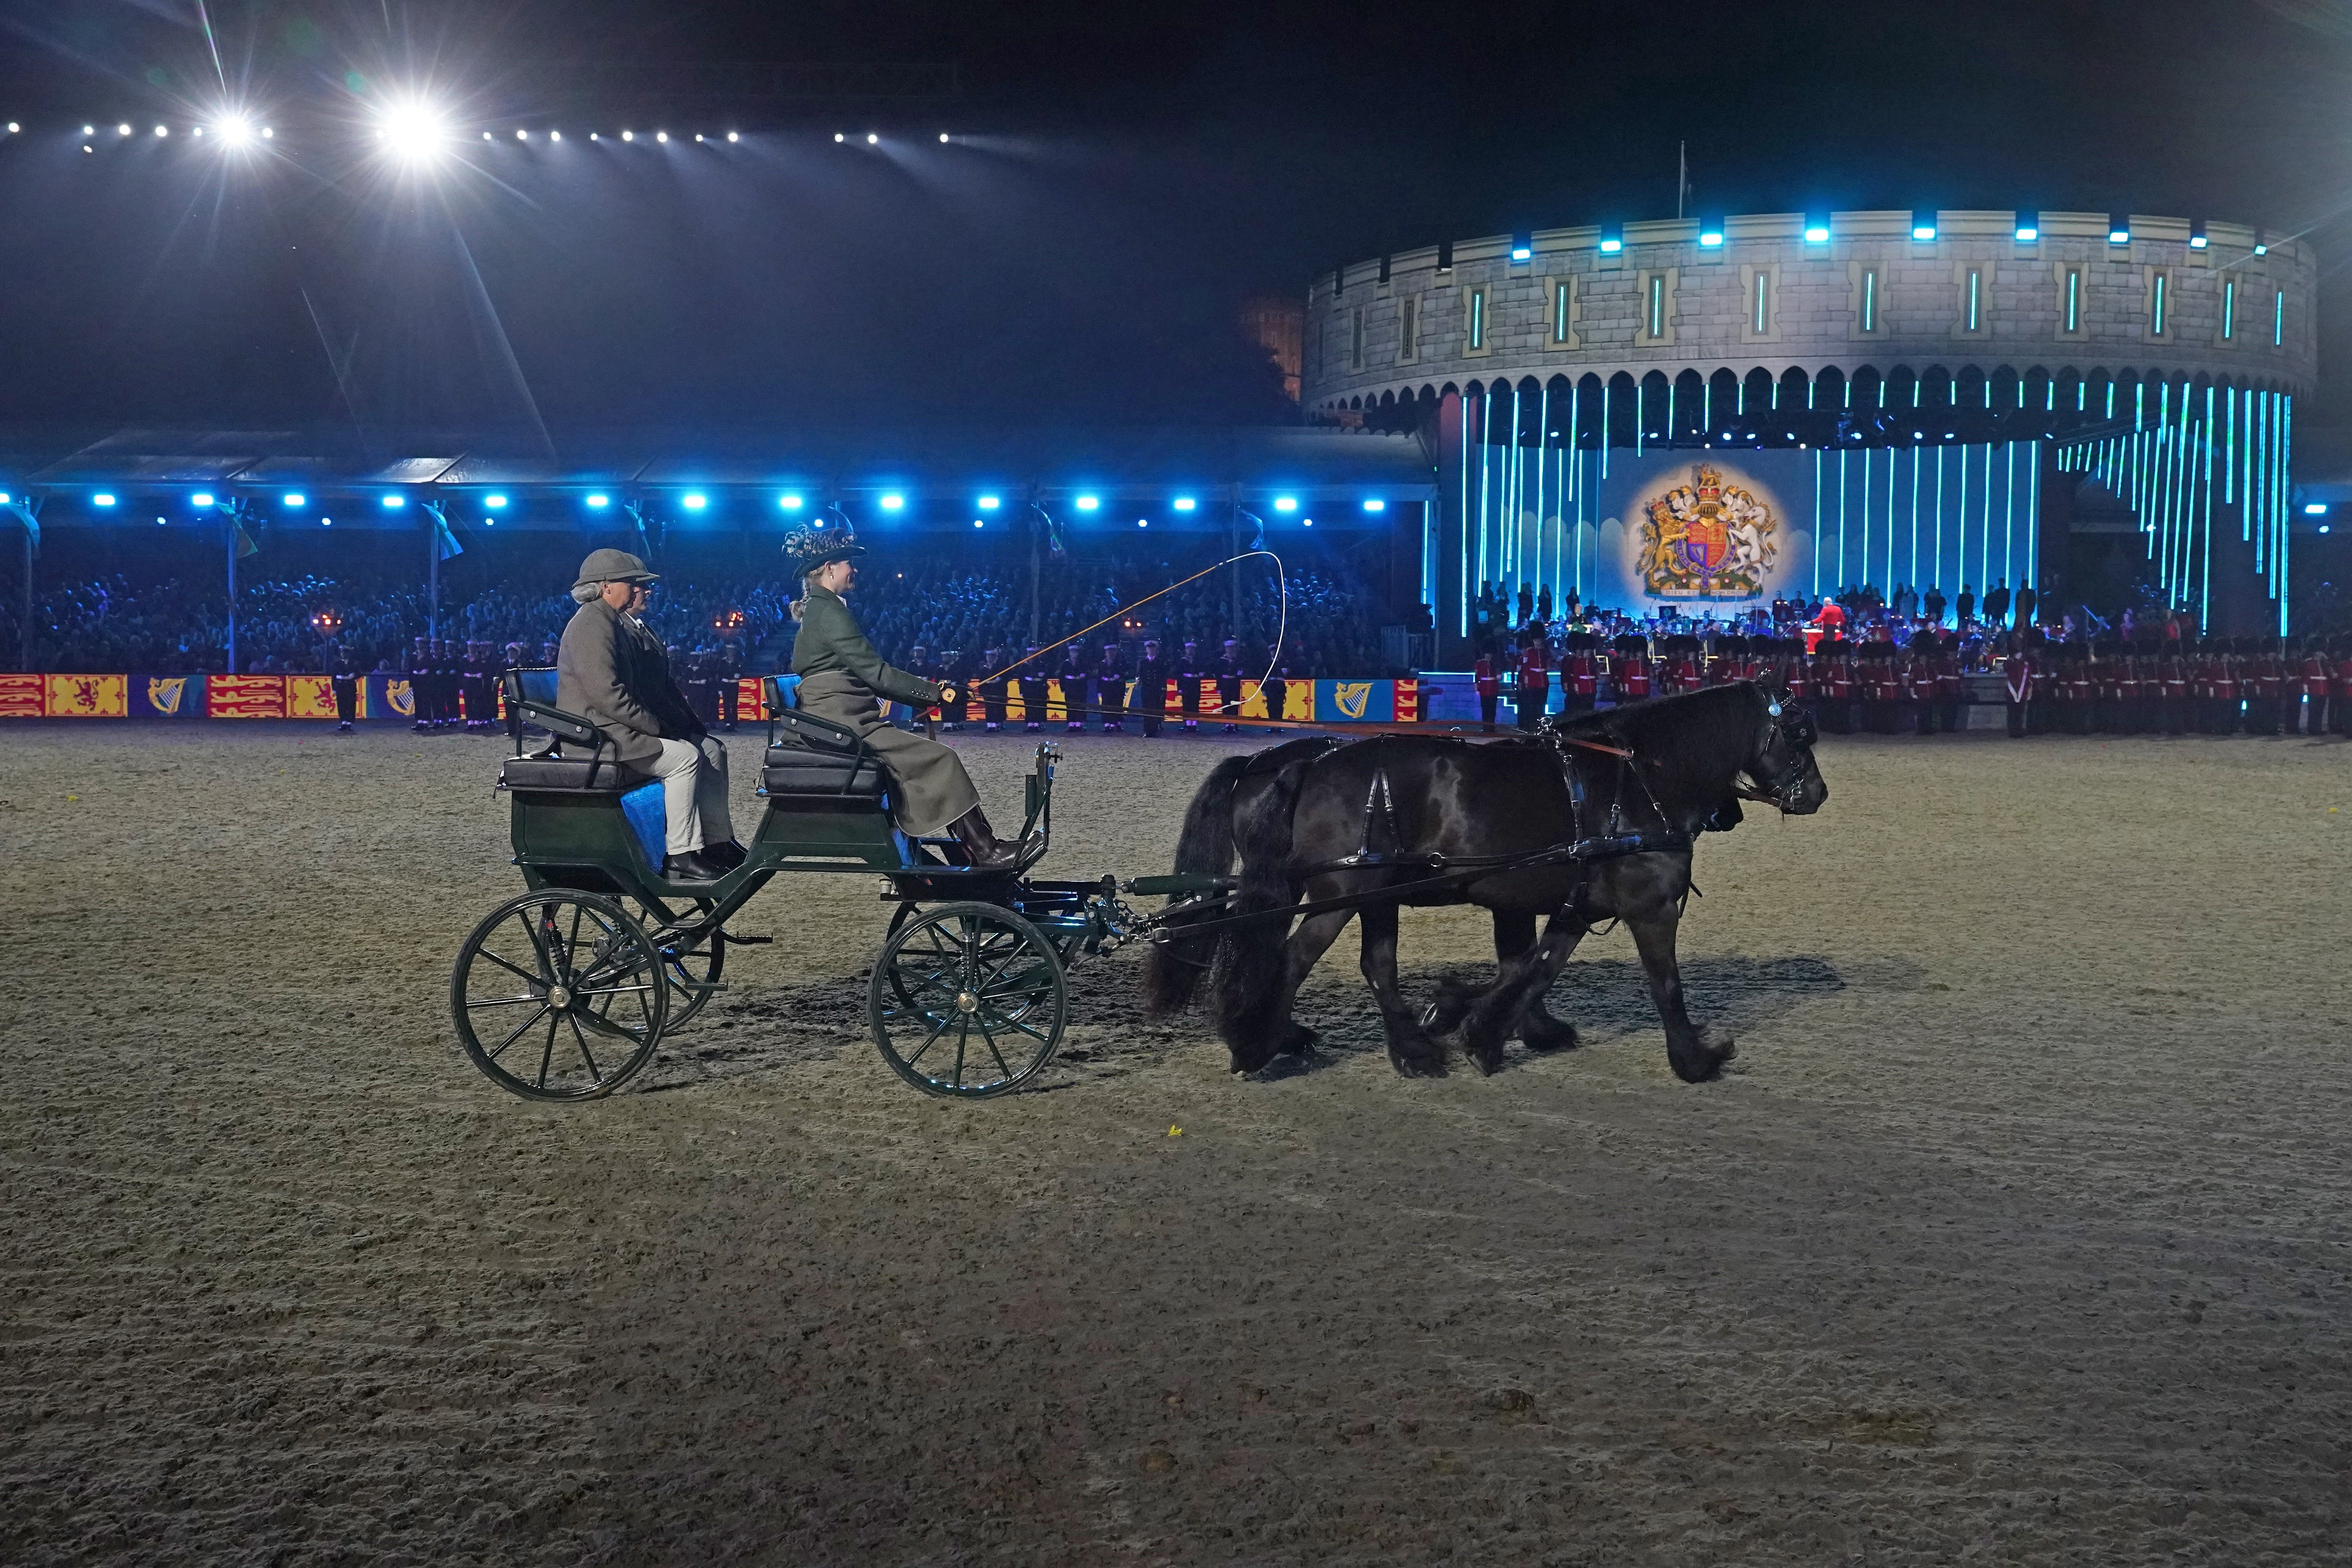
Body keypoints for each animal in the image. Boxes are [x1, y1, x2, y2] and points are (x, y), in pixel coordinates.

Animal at [1148, 682, 1825, 1086]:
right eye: (1798, 732)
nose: (1816, 794)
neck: (1639, 780)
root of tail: (1307, 763)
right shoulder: (1650, 907)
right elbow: (1665, 986)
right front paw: (1695, 1059)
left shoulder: (1568, 904)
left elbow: (1533, 968)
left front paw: (1485, 1026)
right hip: (1342, 895)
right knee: (1293, 960)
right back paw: (1258, 1043)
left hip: (1370, 896)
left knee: (1375, 964)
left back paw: (1407, 1049)